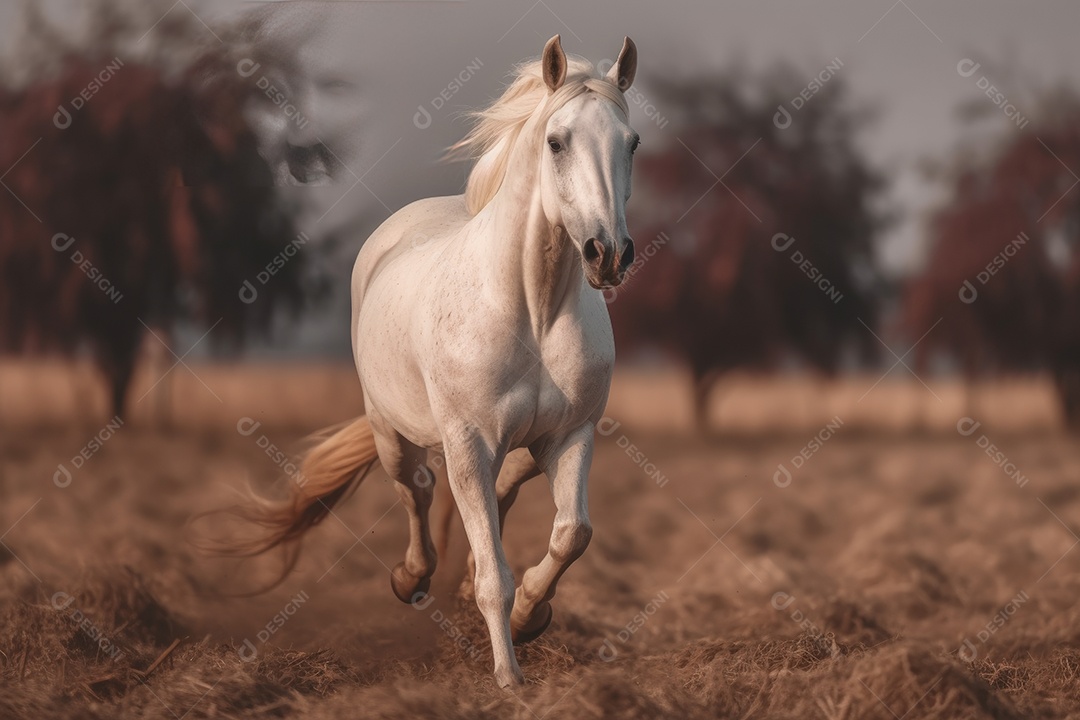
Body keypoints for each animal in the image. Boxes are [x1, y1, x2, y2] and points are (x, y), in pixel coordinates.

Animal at [242, 34, 639, 688]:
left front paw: (532, 615)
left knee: (497, 500)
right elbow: (494, 577)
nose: (608, 254)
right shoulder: (469, 443)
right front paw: (508, 679)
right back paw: (411, 581)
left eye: (631, 143)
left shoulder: (570, 436)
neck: (531, 310)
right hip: (393, 433)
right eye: (556, 142)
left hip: (517, 451)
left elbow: (572, 534)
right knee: (416, 492)